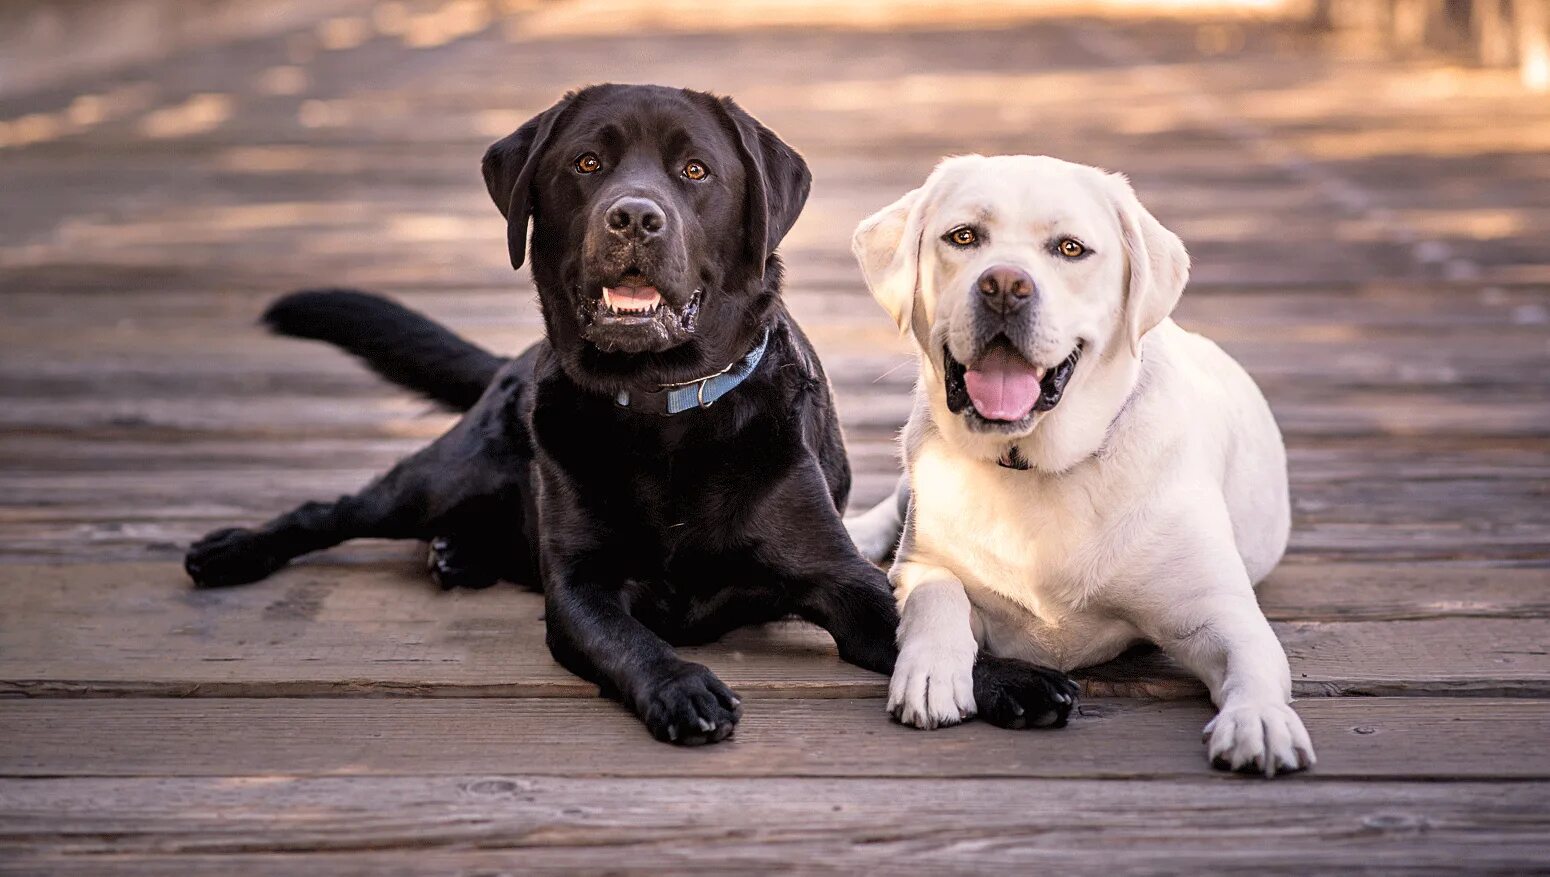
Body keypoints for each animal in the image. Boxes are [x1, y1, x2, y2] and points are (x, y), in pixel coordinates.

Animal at [184, 82, 1078, 746]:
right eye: (586, 162)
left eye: (696, 170)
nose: (635, 216)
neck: (665, 411)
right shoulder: (581, 588)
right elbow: (627, 637)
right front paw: (682, 686)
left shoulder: (840, 577)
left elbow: (909, 623)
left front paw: (1008, 678)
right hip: (441, 476)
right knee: (333, 509)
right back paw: (235, 550)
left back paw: (458, 554)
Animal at [855, 156, 1314, 777]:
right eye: (964, 237)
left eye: (1071, 249)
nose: (1005, 286)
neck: (1036, 466)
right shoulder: (922, 565)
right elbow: (936, 596)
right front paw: (931, 671)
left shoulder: (1216, 611)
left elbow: (1255, 665)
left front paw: (1259, 720)